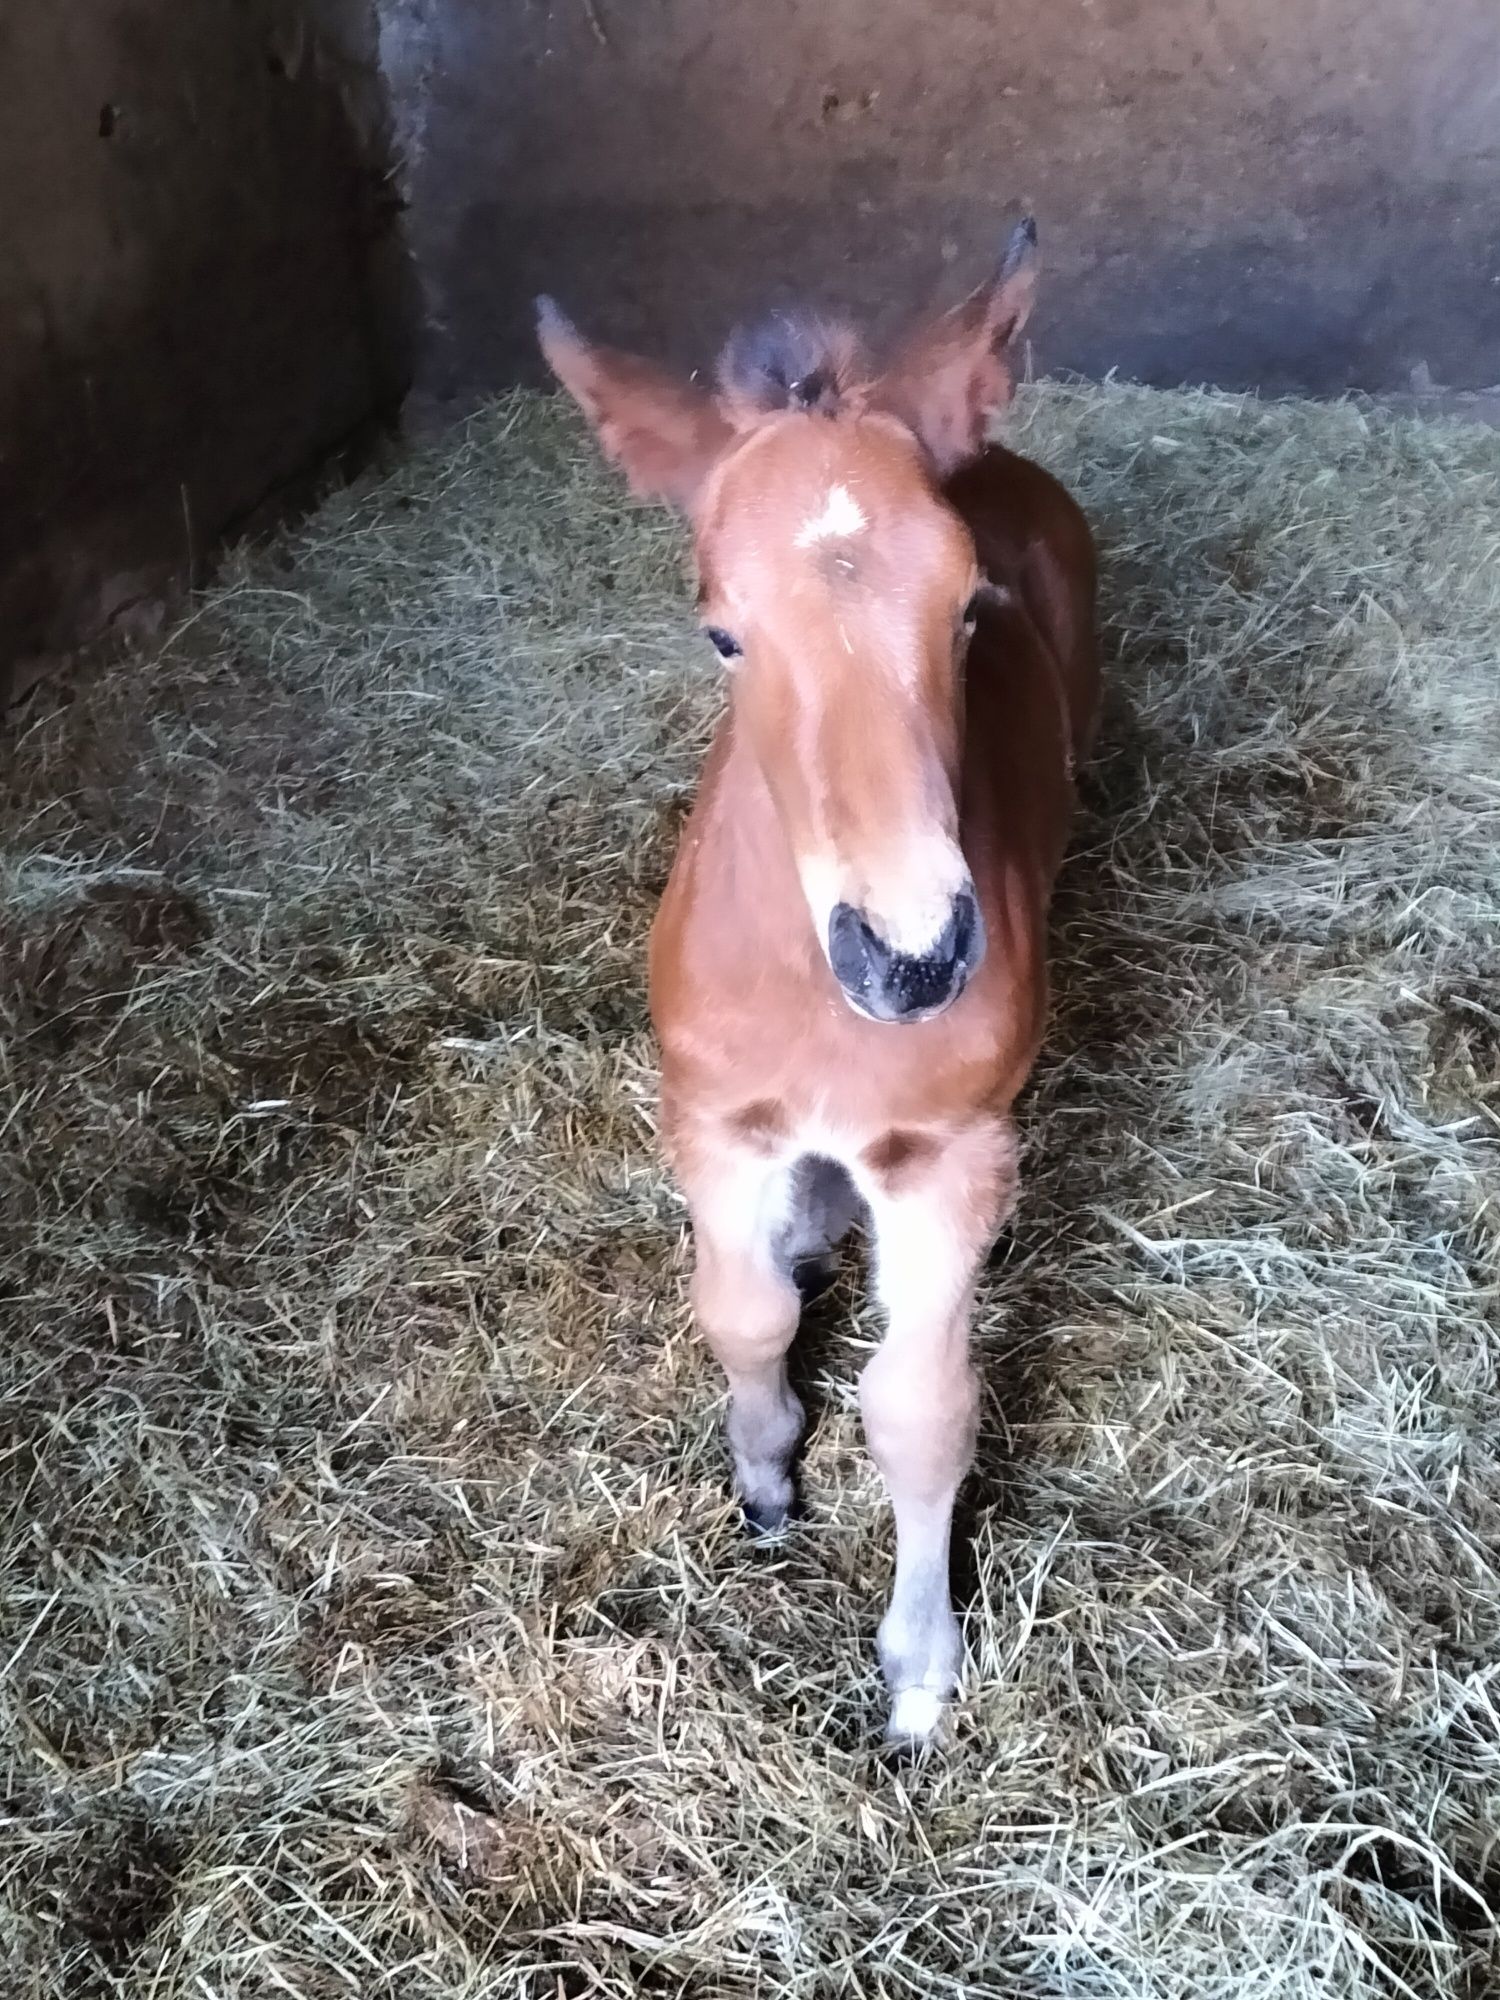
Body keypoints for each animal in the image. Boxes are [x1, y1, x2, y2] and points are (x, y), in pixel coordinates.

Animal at [536, 227, 1096, 1744]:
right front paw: (766, 1484)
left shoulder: (947, 1153)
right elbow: (743, 1314)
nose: (910, 956)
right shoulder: (714, 1120)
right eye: (723, 631)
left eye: (968, 607)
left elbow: (921, 1405)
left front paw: (919, 1677)